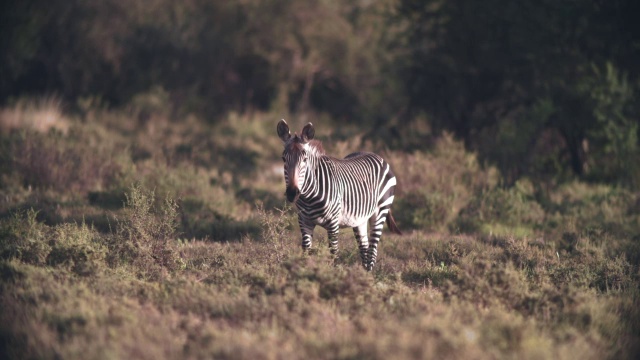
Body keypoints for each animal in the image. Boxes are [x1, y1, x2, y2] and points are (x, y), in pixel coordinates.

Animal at [276, 119, 400, 272]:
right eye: (283, 159)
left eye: (305, 159)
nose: (292, 193)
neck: (309, 198)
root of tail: (377, 156)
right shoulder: (304, 221)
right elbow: (306, 251)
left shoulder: (333, 223)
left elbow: (333, 253)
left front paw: (332, 275)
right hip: (360, 219)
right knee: (364, 248)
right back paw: (364, 275)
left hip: (381, 210)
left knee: (372, 250)